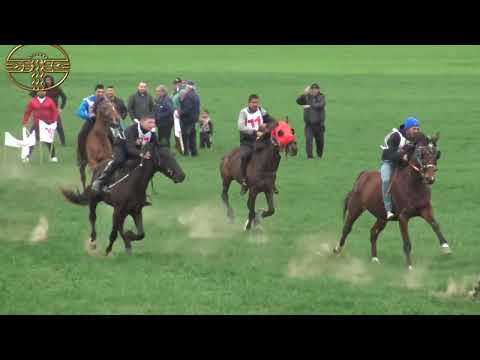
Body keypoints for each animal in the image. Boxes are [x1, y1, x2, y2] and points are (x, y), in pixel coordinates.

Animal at [334, 134, 450, 268]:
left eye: (436, 154)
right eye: (421, 154)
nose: (430, 178)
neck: (413, 184)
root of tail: (362, 176)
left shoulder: (425, 209)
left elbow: (435, 225)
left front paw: (446, 247)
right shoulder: (403, 217)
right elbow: (407, 242)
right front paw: (409, 266)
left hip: (382, 217)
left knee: (373, 232)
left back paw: (374, 258)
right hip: (355, 209)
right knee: (347, 228)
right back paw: (337, 250)